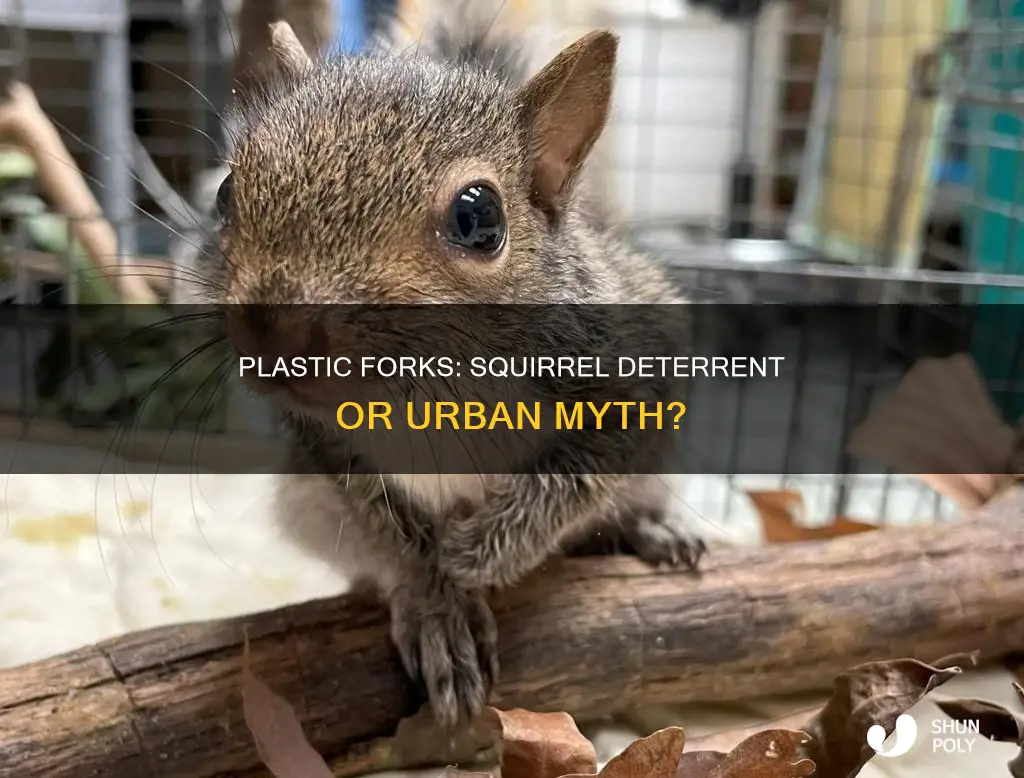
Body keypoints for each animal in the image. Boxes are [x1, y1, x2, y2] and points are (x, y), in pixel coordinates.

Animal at [203, 0, 706, 727]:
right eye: (224, 193)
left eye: (478, 218)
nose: (273, 333)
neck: (432, 392)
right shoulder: (321, 442)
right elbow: (384, 524)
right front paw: (435, 600)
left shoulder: (633, 374)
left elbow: (579, 476)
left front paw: (478, 553)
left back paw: (655, 529)